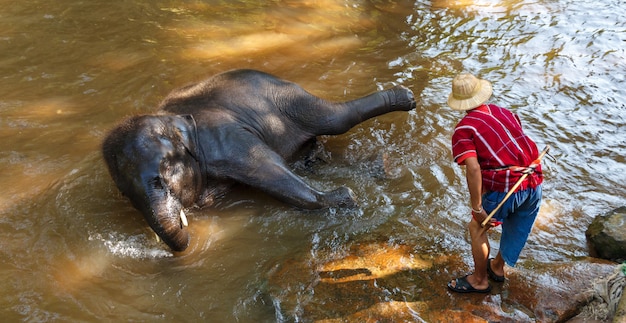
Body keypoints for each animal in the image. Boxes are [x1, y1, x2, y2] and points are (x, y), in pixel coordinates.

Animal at [102, 69, 414, 253]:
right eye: (126, 195)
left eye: (164, 178)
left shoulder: (223, 135)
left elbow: (265, 165)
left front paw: (344, 198)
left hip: (289, 100)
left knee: (335, 118)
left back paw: (406, 97)